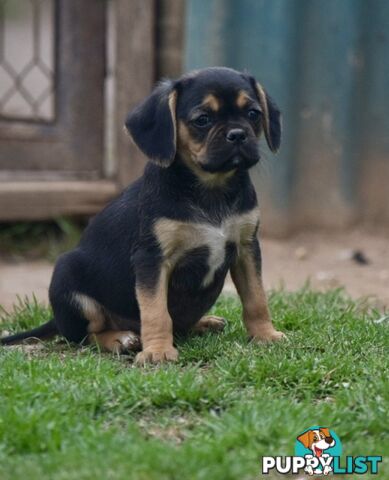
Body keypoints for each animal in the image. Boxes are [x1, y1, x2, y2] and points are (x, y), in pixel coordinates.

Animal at [0, 66, 284, 364]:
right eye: (202, 120)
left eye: (253, 113)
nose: (238, 134)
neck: (211, 188)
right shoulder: (152, 259)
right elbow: (156, 311)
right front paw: (157, 351)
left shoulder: (246, 248)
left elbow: (256, 299)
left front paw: (265, 335)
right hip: (67, 276)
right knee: (85, 336)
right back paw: (120, 339)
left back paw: (204, 322)